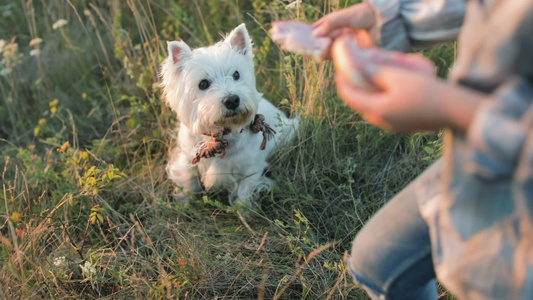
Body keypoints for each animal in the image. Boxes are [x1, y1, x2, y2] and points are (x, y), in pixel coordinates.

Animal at [160, 24, 298, 205]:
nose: (232, 100)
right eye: (203, 84)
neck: (220, 134)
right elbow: (187, 184)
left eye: (236, 74)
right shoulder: (187, 160)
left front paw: (243, 209)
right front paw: (184, 205)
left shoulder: (250, 169)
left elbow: (244, 193)